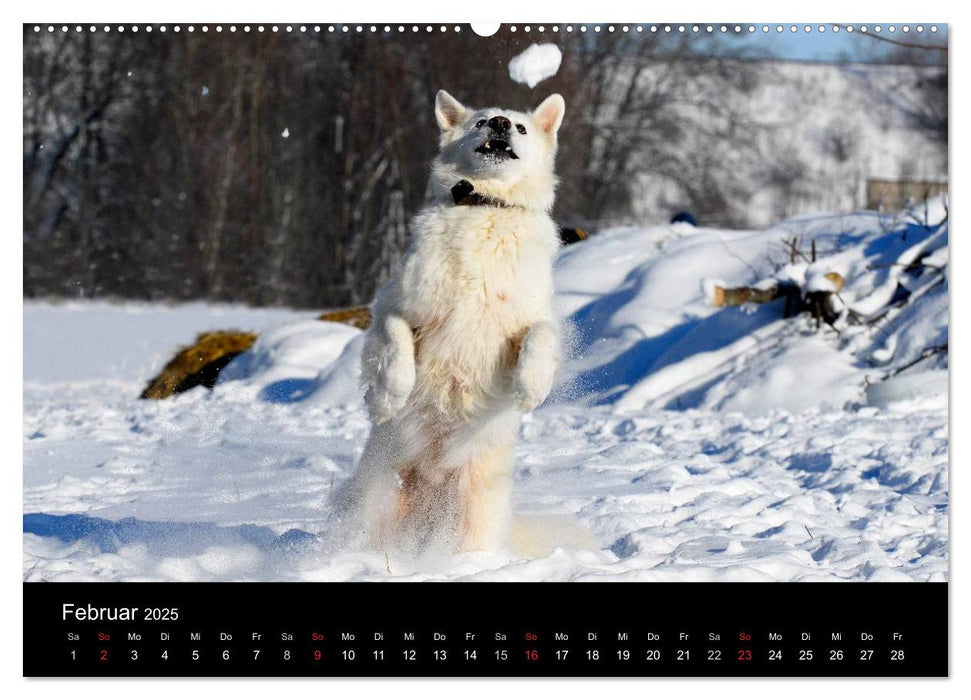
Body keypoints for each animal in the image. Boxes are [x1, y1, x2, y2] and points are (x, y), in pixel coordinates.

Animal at [334, 90, 564, 556]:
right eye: (480, 122)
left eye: (521, 127)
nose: (500, 124)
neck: (486, 208)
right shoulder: (397, 306)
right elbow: (397, 350)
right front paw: (385, 400)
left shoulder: (529, 319)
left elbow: (541, 335)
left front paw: (531, 387)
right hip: (377, 497)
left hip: (477, 512)